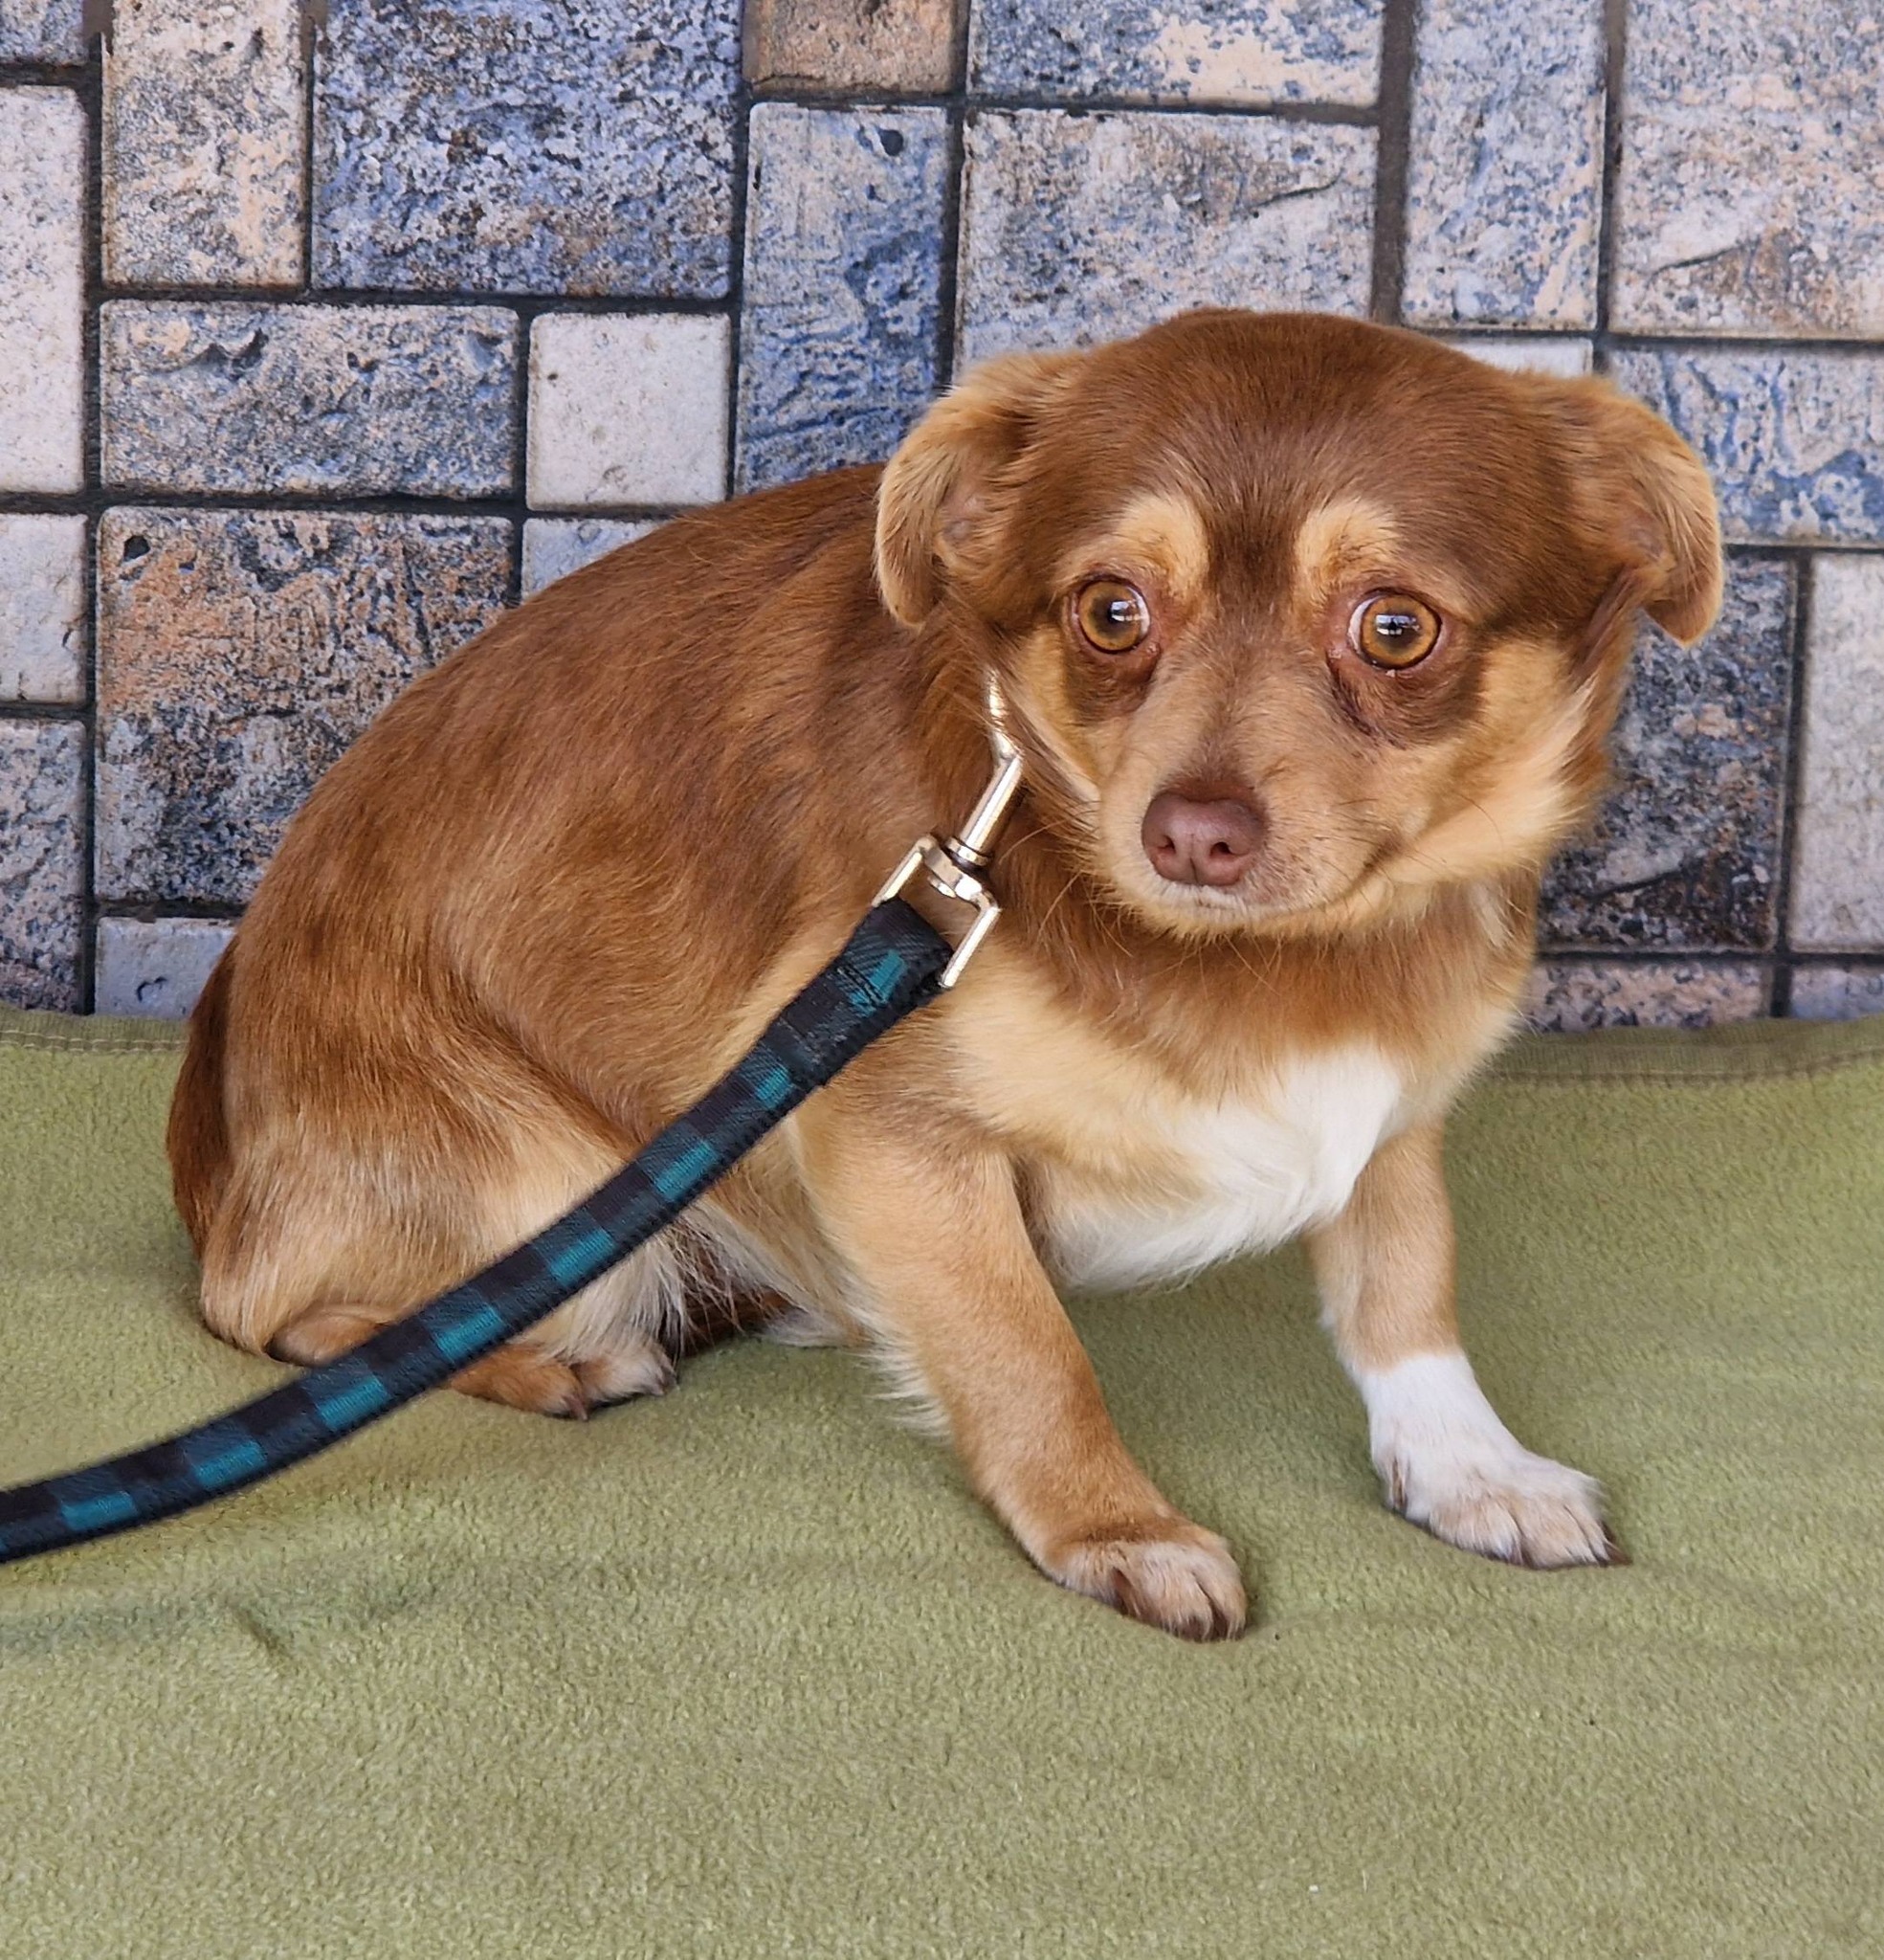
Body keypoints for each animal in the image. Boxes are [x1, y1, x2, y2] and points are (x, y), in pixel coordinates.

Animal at [167, 310, 1721, 1639]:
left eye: (1396, 629)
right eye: (1109, 612)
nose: (1192, 831)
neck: (1282, 967)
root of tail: (209, 1151)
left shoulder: (1388, 1120)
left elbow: (1408, 1292)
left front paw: (1471, 1468)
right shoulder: (889, 1131)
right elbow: (1027, 1351)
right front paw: (1116, 1528)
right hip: (544, 1181)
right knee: (283, 1319)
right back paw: (554, 1359)